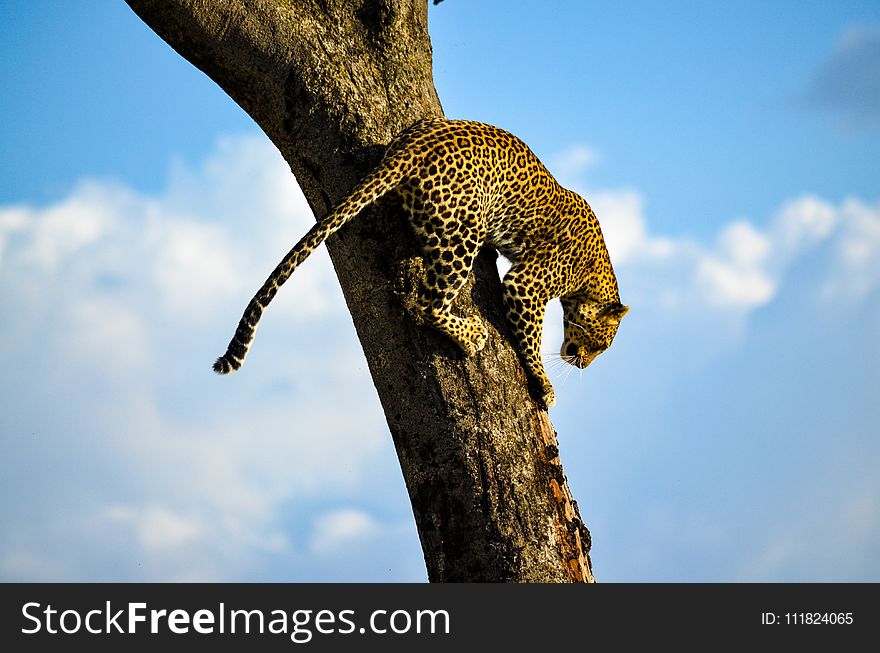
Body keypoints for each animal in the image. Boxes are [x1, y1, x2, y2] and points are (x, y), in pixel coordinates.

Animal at [212, 117, 624, 408]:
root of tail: (414, 146)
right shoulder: (527, 287)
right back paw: (471, 335)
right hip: (464, 233)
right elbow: (531, 340)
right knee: (426, 304)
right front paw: (545, 384)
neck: (596, 276)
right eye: (599, 343)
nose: (582, 364)